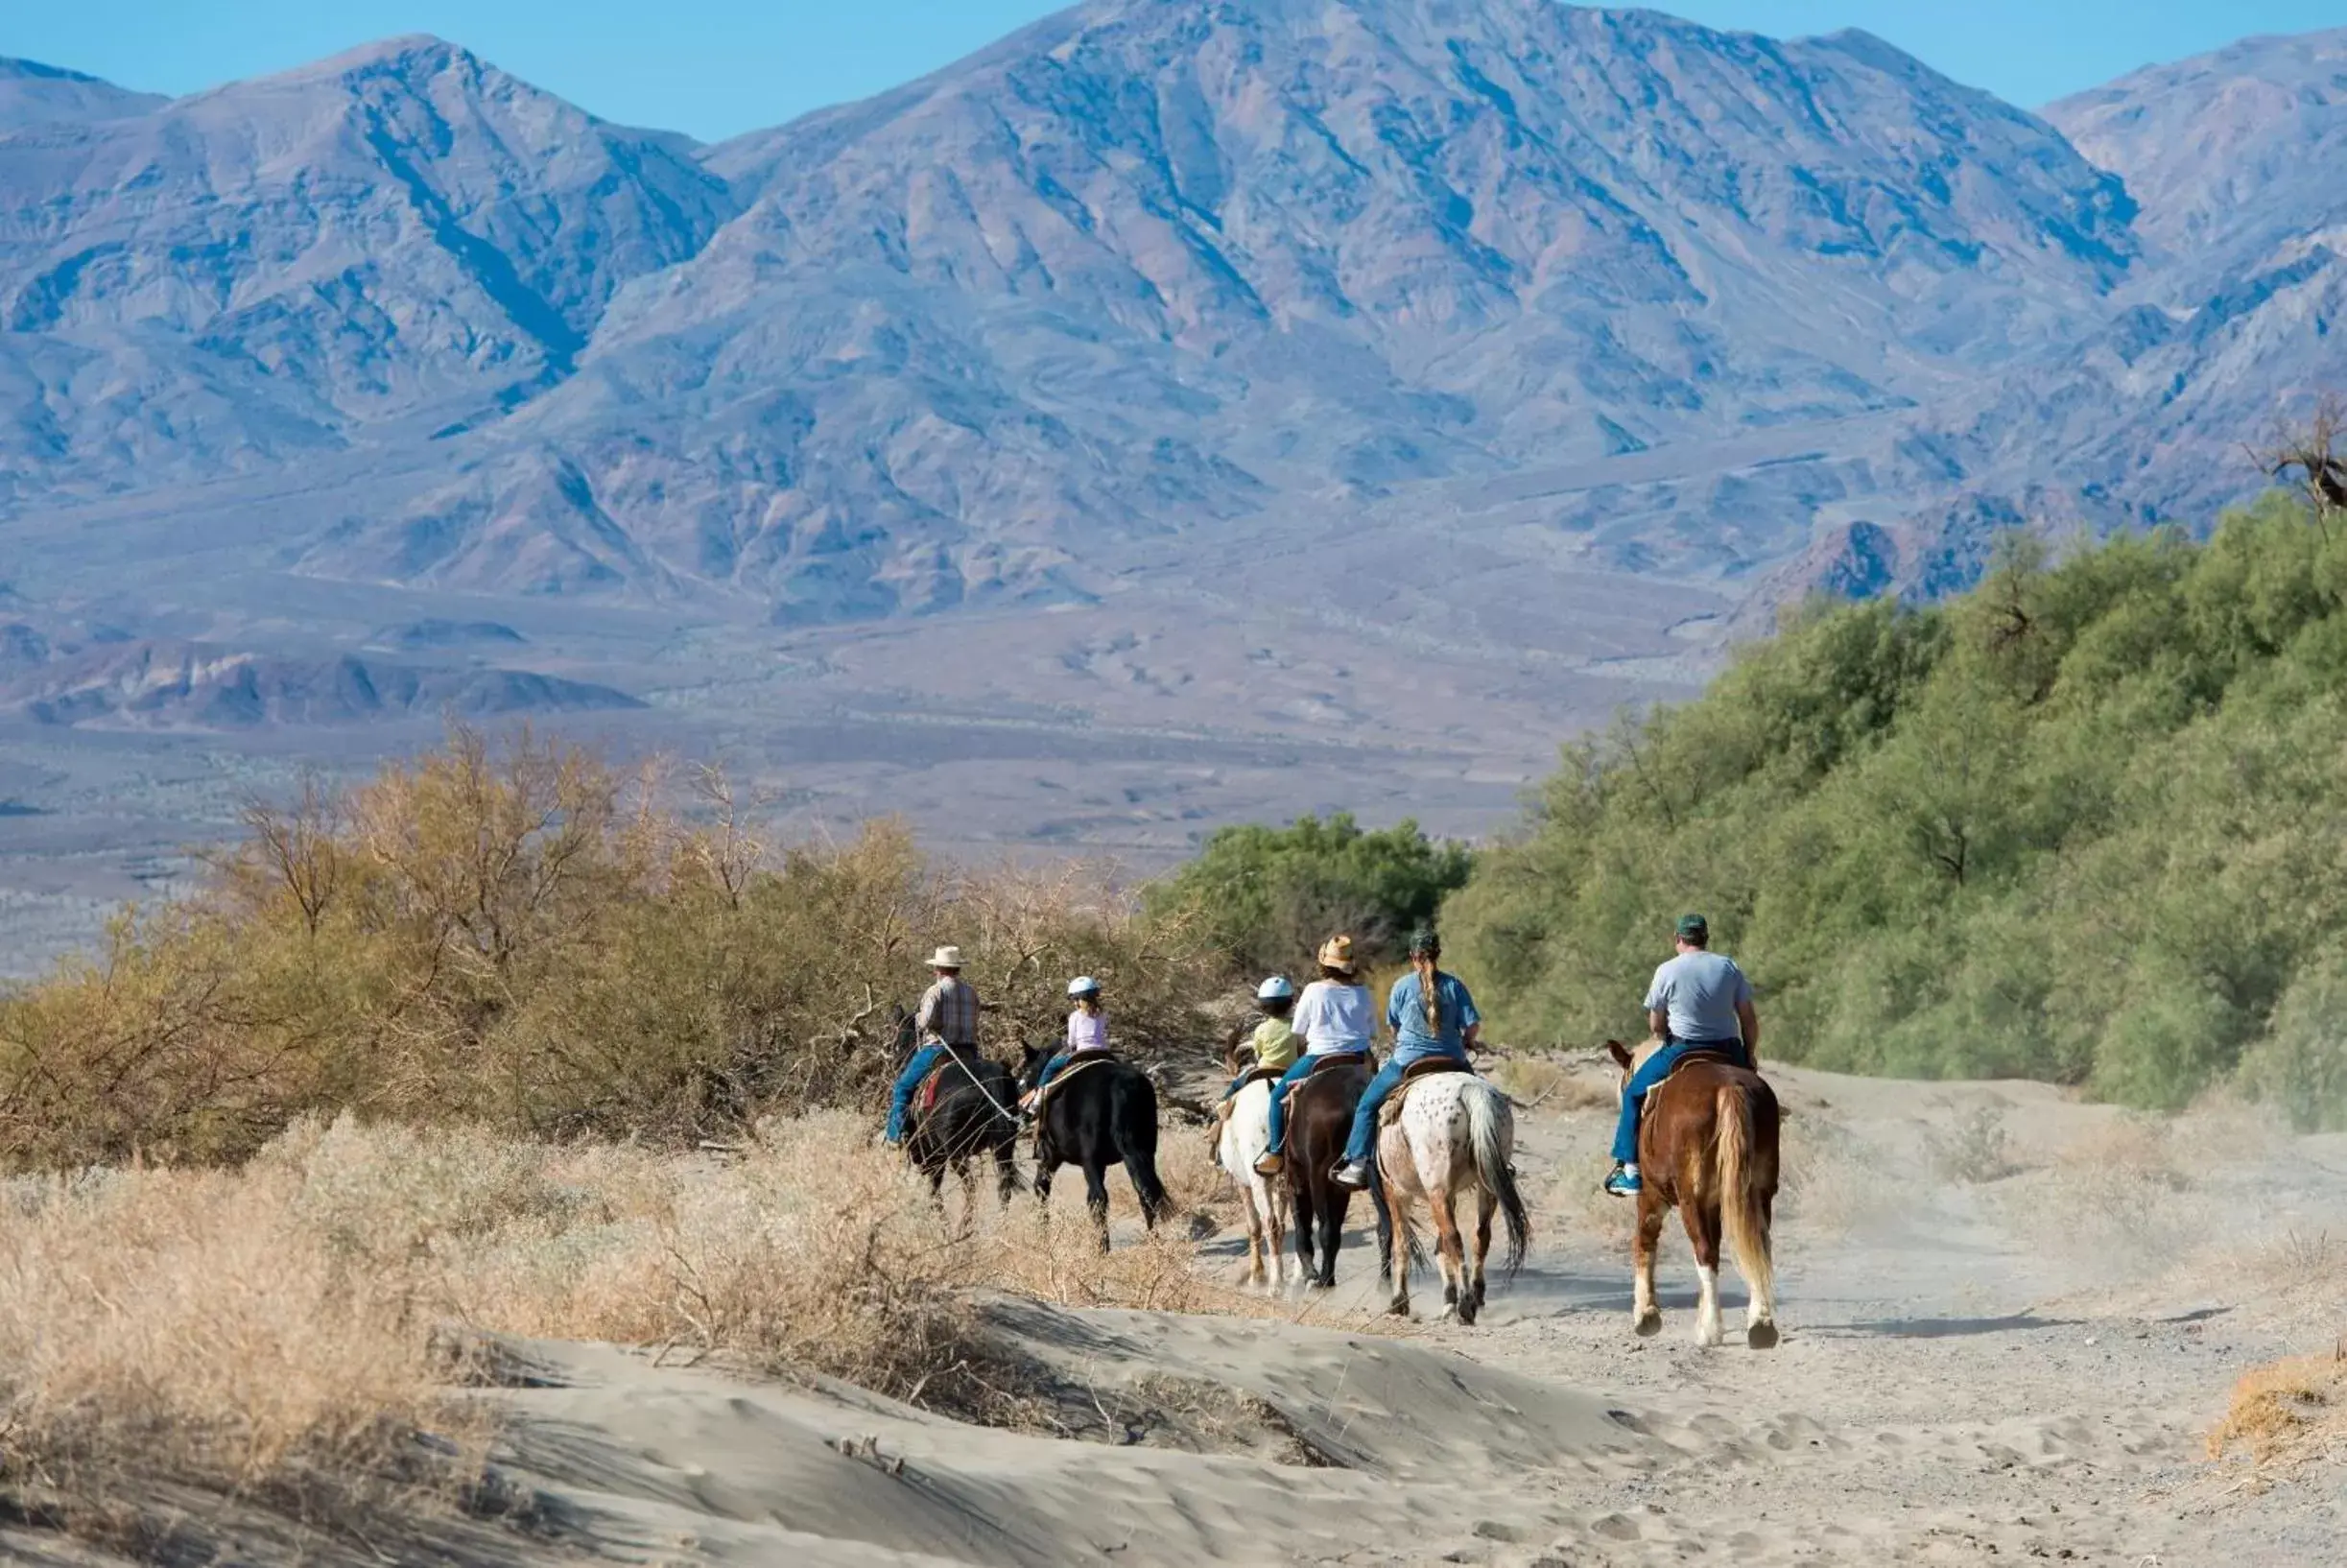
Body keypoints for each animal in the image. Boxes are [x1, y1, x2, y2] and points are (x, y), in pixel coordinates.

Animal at [1018, 1046, 1174, 1258]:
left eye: (1022, 1080)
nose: (1021, 1108)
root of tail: (1121, 1087)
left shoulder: (1052, 1156)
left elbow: (1041, 1186)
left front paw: (1043, 1235)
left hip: (1090, 1160)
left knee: (1098, 1198)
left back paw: (1101, 1249)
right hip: (1144, 1152)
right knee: (1146, 1192)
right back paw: (1154, 1243)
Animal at [1220, 1080, 1295, 1286]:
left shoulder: (1243, 1183)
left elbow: (1254, 1226)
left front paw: (1257, 1274)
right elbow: (1282, 1225)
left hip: (1258, 1180)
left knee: (1269, 1223)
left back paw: (1275, 1285)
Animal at [1370, 1065, 1521, 1323]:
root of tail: (1470, 1091)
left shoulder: (1396, 1191)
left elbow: (1401, 1244)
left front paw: (1399, 1302)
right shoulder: (1449, 1195)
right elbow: (1440, 1248)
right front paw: (1448, 1300)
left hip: (1436, 1190)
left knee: (1454, 1238)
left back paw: (1465, 1306)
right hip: (1484, 1188)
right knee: (1480, 1237)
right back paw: (1476, 1299)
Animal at [1605, 1042, 1783, 1351]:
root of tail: (1729, 1087)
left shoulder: (1651, 1198)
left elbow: (1645, 1243)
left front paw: (1646, 1315)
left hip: (1692, 1201)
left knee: (1705, 1252)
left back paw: (1710, 1332)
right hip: (1758, 1196)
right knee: (1757, 1248)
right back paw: (1760, 1324)